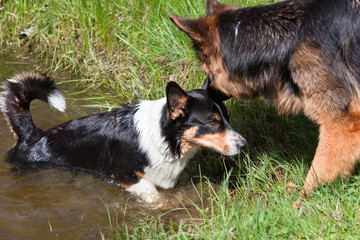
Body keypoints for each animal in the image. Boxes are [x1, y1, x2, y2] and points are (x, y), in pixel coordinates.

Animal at [0, 72, 248, 203]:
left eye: (228, 117)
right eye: (213, 122)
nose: (244, 144)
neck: (164, 136)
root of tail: (33, 135)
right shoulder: (125, 176)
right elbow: (155, 197)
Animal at [169, 0, 360, 206]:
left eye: (206, 68)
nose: (207, 93)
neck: (290, 38)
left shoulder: (340, 123)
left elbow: (320, 170)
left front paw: (301, 205)